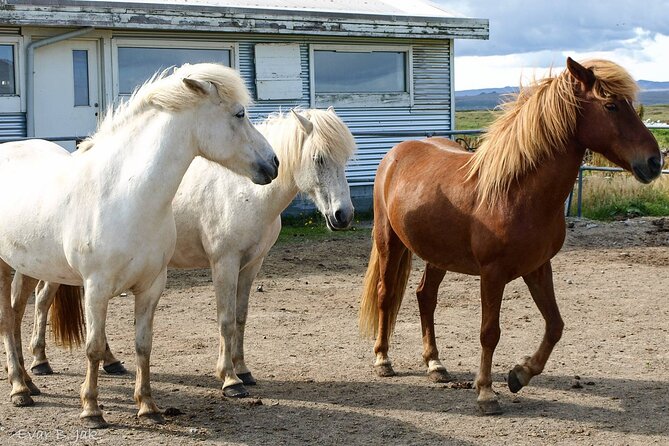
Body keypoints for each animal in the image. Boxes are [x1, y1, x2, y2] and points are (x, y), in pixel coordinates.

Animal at [0, 63, 279, 428]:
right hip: (6, 267)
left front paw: (148, 406)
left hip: (29, 266)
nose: (274, 163)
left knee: (18, 313)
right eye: (239, 113)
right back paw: (19, 389)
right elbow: (92, 346)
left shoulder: (151, 286)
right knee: (7, 320)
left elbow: (143, 345)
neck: (124, 194)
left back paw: (28, 382)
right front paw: (91, 410)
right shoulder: (96, 287)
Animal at [13, 107, 355, 399]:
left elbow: (241, 317)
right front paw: (230, 380)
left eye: (346, 158)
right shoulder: (224, 263)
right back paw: (39, 363)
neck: (244, 191)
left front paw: (244, 371)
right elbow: (225, 319)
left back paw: (108, 362)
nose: (344, 216)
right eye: (318, 158)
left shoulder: (251, 265)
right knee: (41, 300)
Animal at [359, 58, 662, 415]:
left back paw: (435, 364)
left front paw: (520, 374)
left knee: (425, 296)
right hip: (388, 241)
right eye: (611, 105)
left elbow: (555, 325)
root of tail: (396, 153)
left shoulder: (539, 268)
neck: (517, 192)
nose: (655, 161)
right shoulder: (493, 274)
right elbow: (490, 332)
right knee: (386, 293)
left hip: (438, 254)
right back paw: (382, 360)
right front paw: (487, 393)